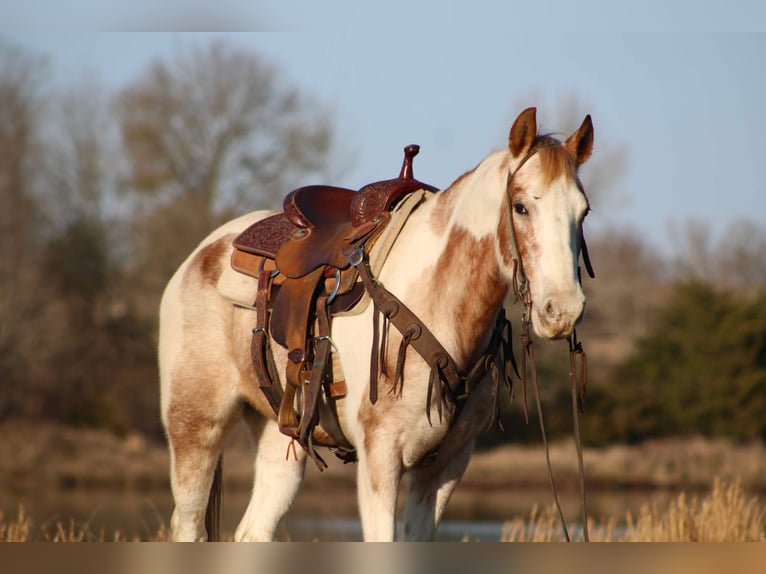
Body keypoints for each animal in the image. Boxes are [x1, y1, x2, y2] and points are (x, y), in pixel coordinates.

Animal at [158, 107, 594, 541]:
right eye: (520, 207)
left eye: (583, 211)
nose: (563, 310)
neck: (436, 300)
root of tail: (201, 255)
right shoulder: (380, 456)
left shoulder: (446, 465)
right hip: (195, 427)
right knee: (189, 526)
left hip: (280, 441)